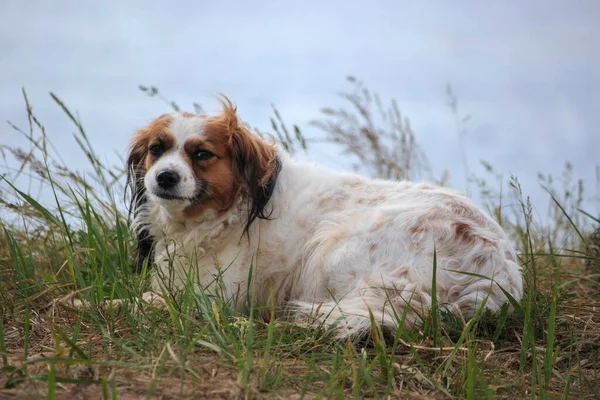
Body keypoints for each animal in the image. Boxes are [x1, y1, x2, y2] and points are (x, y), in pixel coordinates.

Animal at [120, 98, 520, 340]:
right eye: (157, 149)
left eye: (202, 154)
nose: (164, 177)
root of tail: (499, 275)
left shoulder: (214, 295)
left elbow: (145, 301)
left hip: (333, 250)